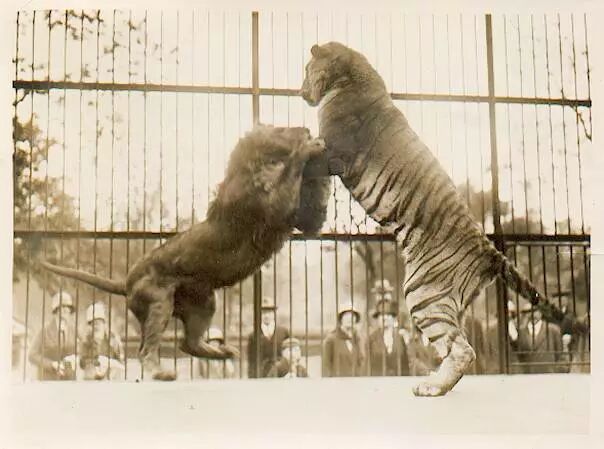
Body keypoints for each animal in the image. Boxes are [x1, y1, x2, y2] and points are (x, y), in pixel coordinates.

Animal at [300, 41, 564, 396]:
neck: (349, 76)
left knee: (463, 350)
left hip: (422, 294)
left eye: (305, 70)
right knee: (456, 345)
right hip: (450, 303)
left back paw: (431, 387)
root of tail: (490, 251)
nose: (300, 90)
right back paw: (436, 381)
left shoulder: (332, 151)